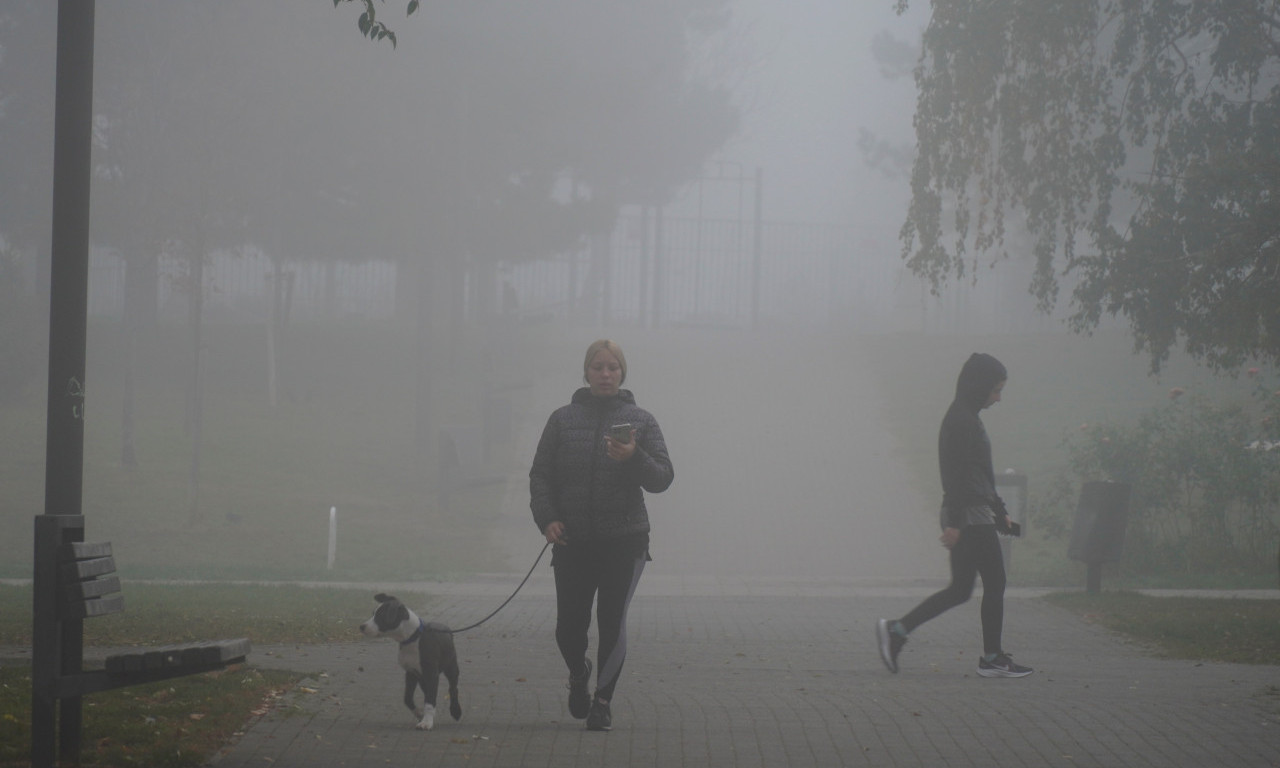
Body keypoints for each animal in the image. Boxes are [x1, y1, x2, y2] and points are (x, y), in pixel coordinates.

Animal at [358, 591, 463, 727]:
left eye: (380, 616)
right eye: (373, 613)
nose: (362, 626)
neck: (412, 637)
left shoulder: (431, 673)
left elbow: (430, 700)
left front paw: (426, 722)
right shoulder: (411, 672)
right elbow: (407, 698)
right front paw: (420, 714)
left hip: (451, 667)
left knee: (453, 688)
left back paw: (456, 711)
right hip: (422, 677)